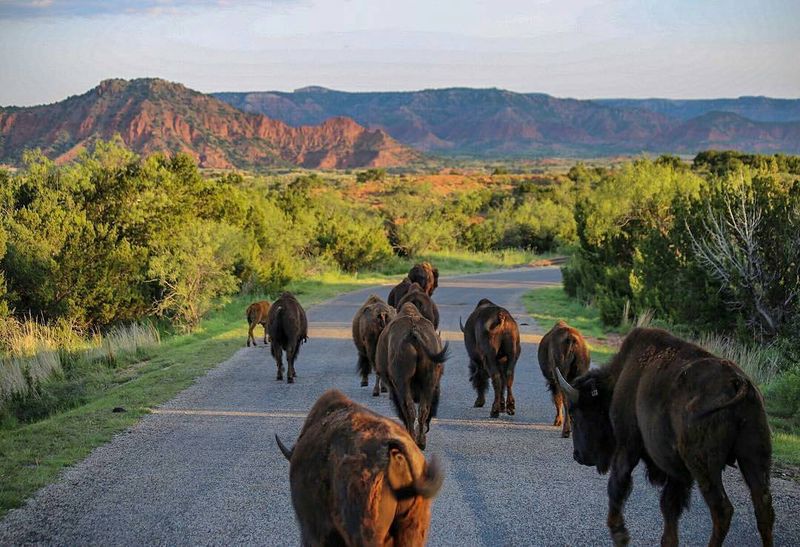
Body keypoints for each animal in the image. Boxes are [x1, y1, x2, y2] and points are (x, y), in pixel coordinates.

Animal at [376, 302, 449, 450]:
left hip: (402, 383)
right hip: (429, 383)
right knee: (423, 410)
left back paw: (412, 438)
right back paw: (421, 442)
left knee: (409, 409)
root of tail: (413, 332)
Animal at [558, 327, 774, 547]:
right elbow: (669, 507)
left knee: (722, 510)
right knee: (764, 509)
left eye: (575, 415)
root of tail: (737, 383)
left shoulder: (628, 445)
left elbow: (617, 485)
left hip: (704, 466)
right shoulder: (676, 472)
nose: (577, 456)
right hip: (754, 458)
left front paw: (620, 534)